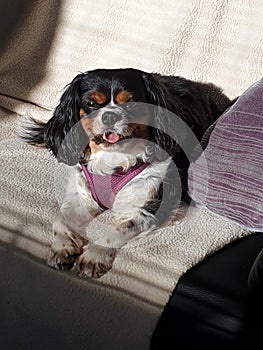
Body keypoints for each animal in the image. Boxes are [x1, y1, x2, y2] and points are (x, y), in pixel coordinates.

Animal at [22, 68, 233, 278]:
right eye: (91, 103)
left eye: (131, 103)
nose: (109, 116)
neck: (114, 158)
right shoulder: (82, 196)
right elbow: (62, 218)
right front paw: (63, 248)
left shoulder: (150, 206)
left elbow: (117, 231)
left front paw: (94, 256)